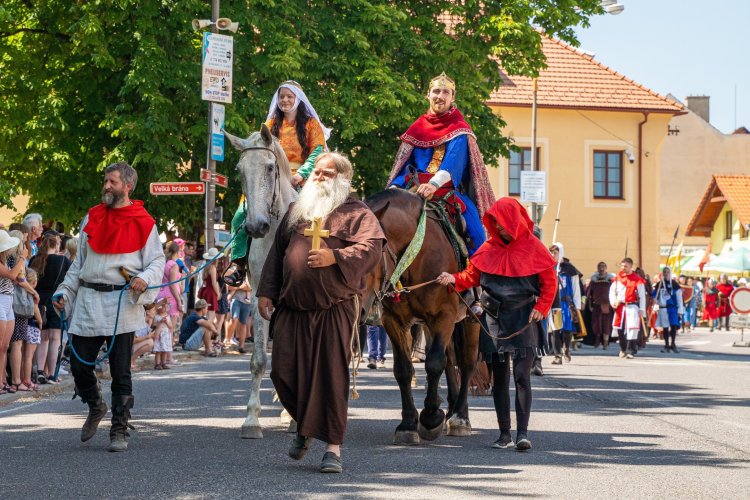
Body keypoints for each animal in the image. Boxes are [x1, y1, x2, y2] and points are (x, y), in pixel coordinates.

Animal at [366, 188, 482, 446]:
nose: (365, 309)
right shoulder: (394, 321)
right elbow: (403, 369)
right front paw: (409, 423)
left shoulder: (443, 316)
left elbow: (434, 363)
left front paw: (430, 418)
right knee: (450, 359)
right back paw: (450, 409)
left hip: (469, 320)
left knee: (466, 362)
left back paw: (460, 417)